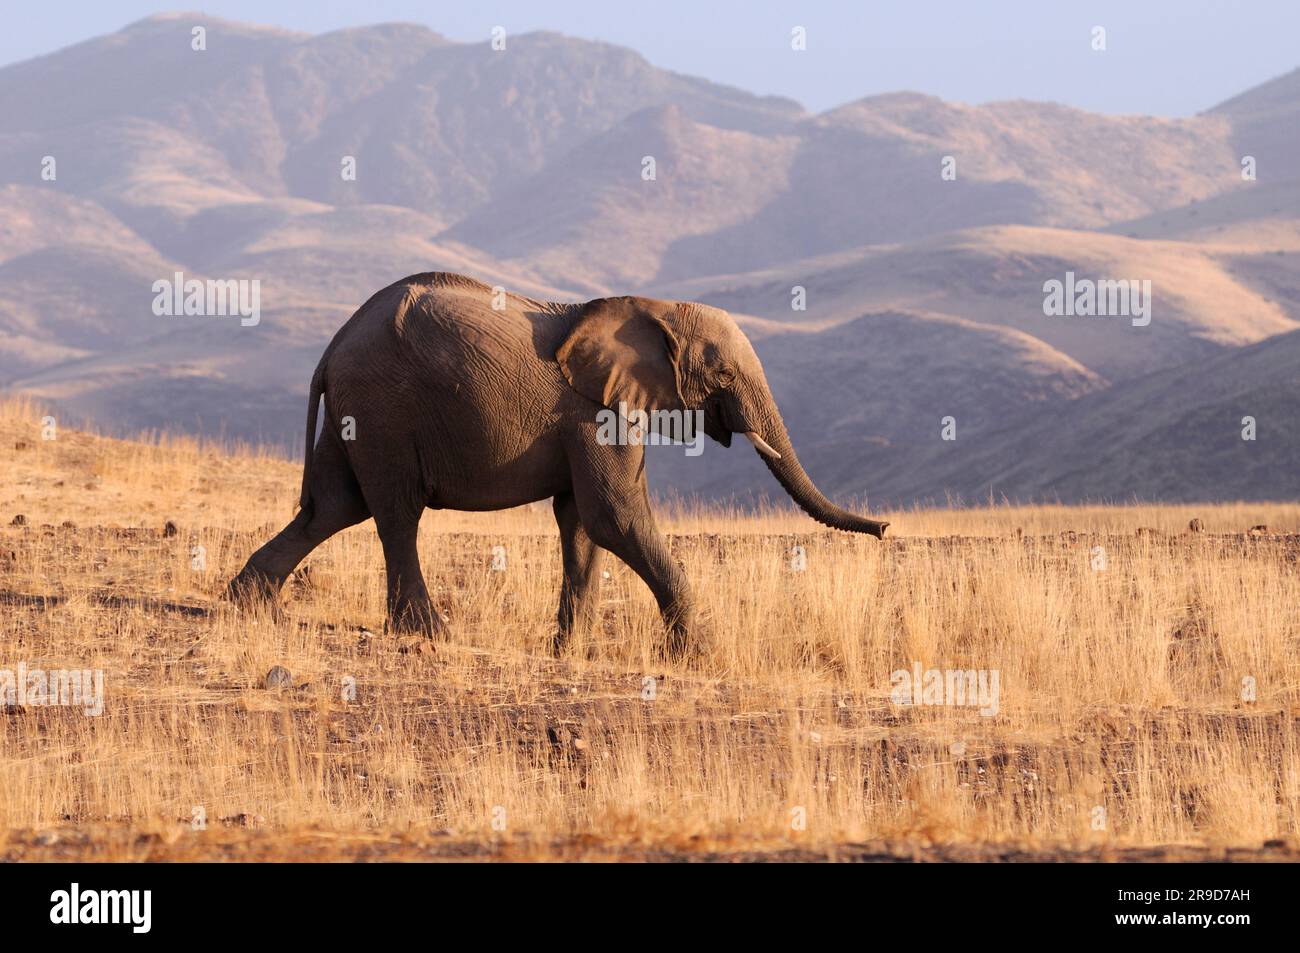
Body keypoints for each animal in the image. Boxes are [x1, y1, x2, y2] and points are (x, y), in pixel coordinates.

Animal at [228, 269, 889, 655]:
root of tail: (331, 348)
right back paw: (428, 633)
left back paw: (248, 603)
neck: (655, 306)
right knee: (394, 513)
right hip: (383, 407)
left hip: (357, 413)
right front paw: (700, 653)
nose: (884, 527)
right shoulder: (595, 412)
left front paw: (569, 652)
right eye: (722, 372)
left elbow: (582, 523)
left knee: (333, 506)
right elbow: (615, 517)